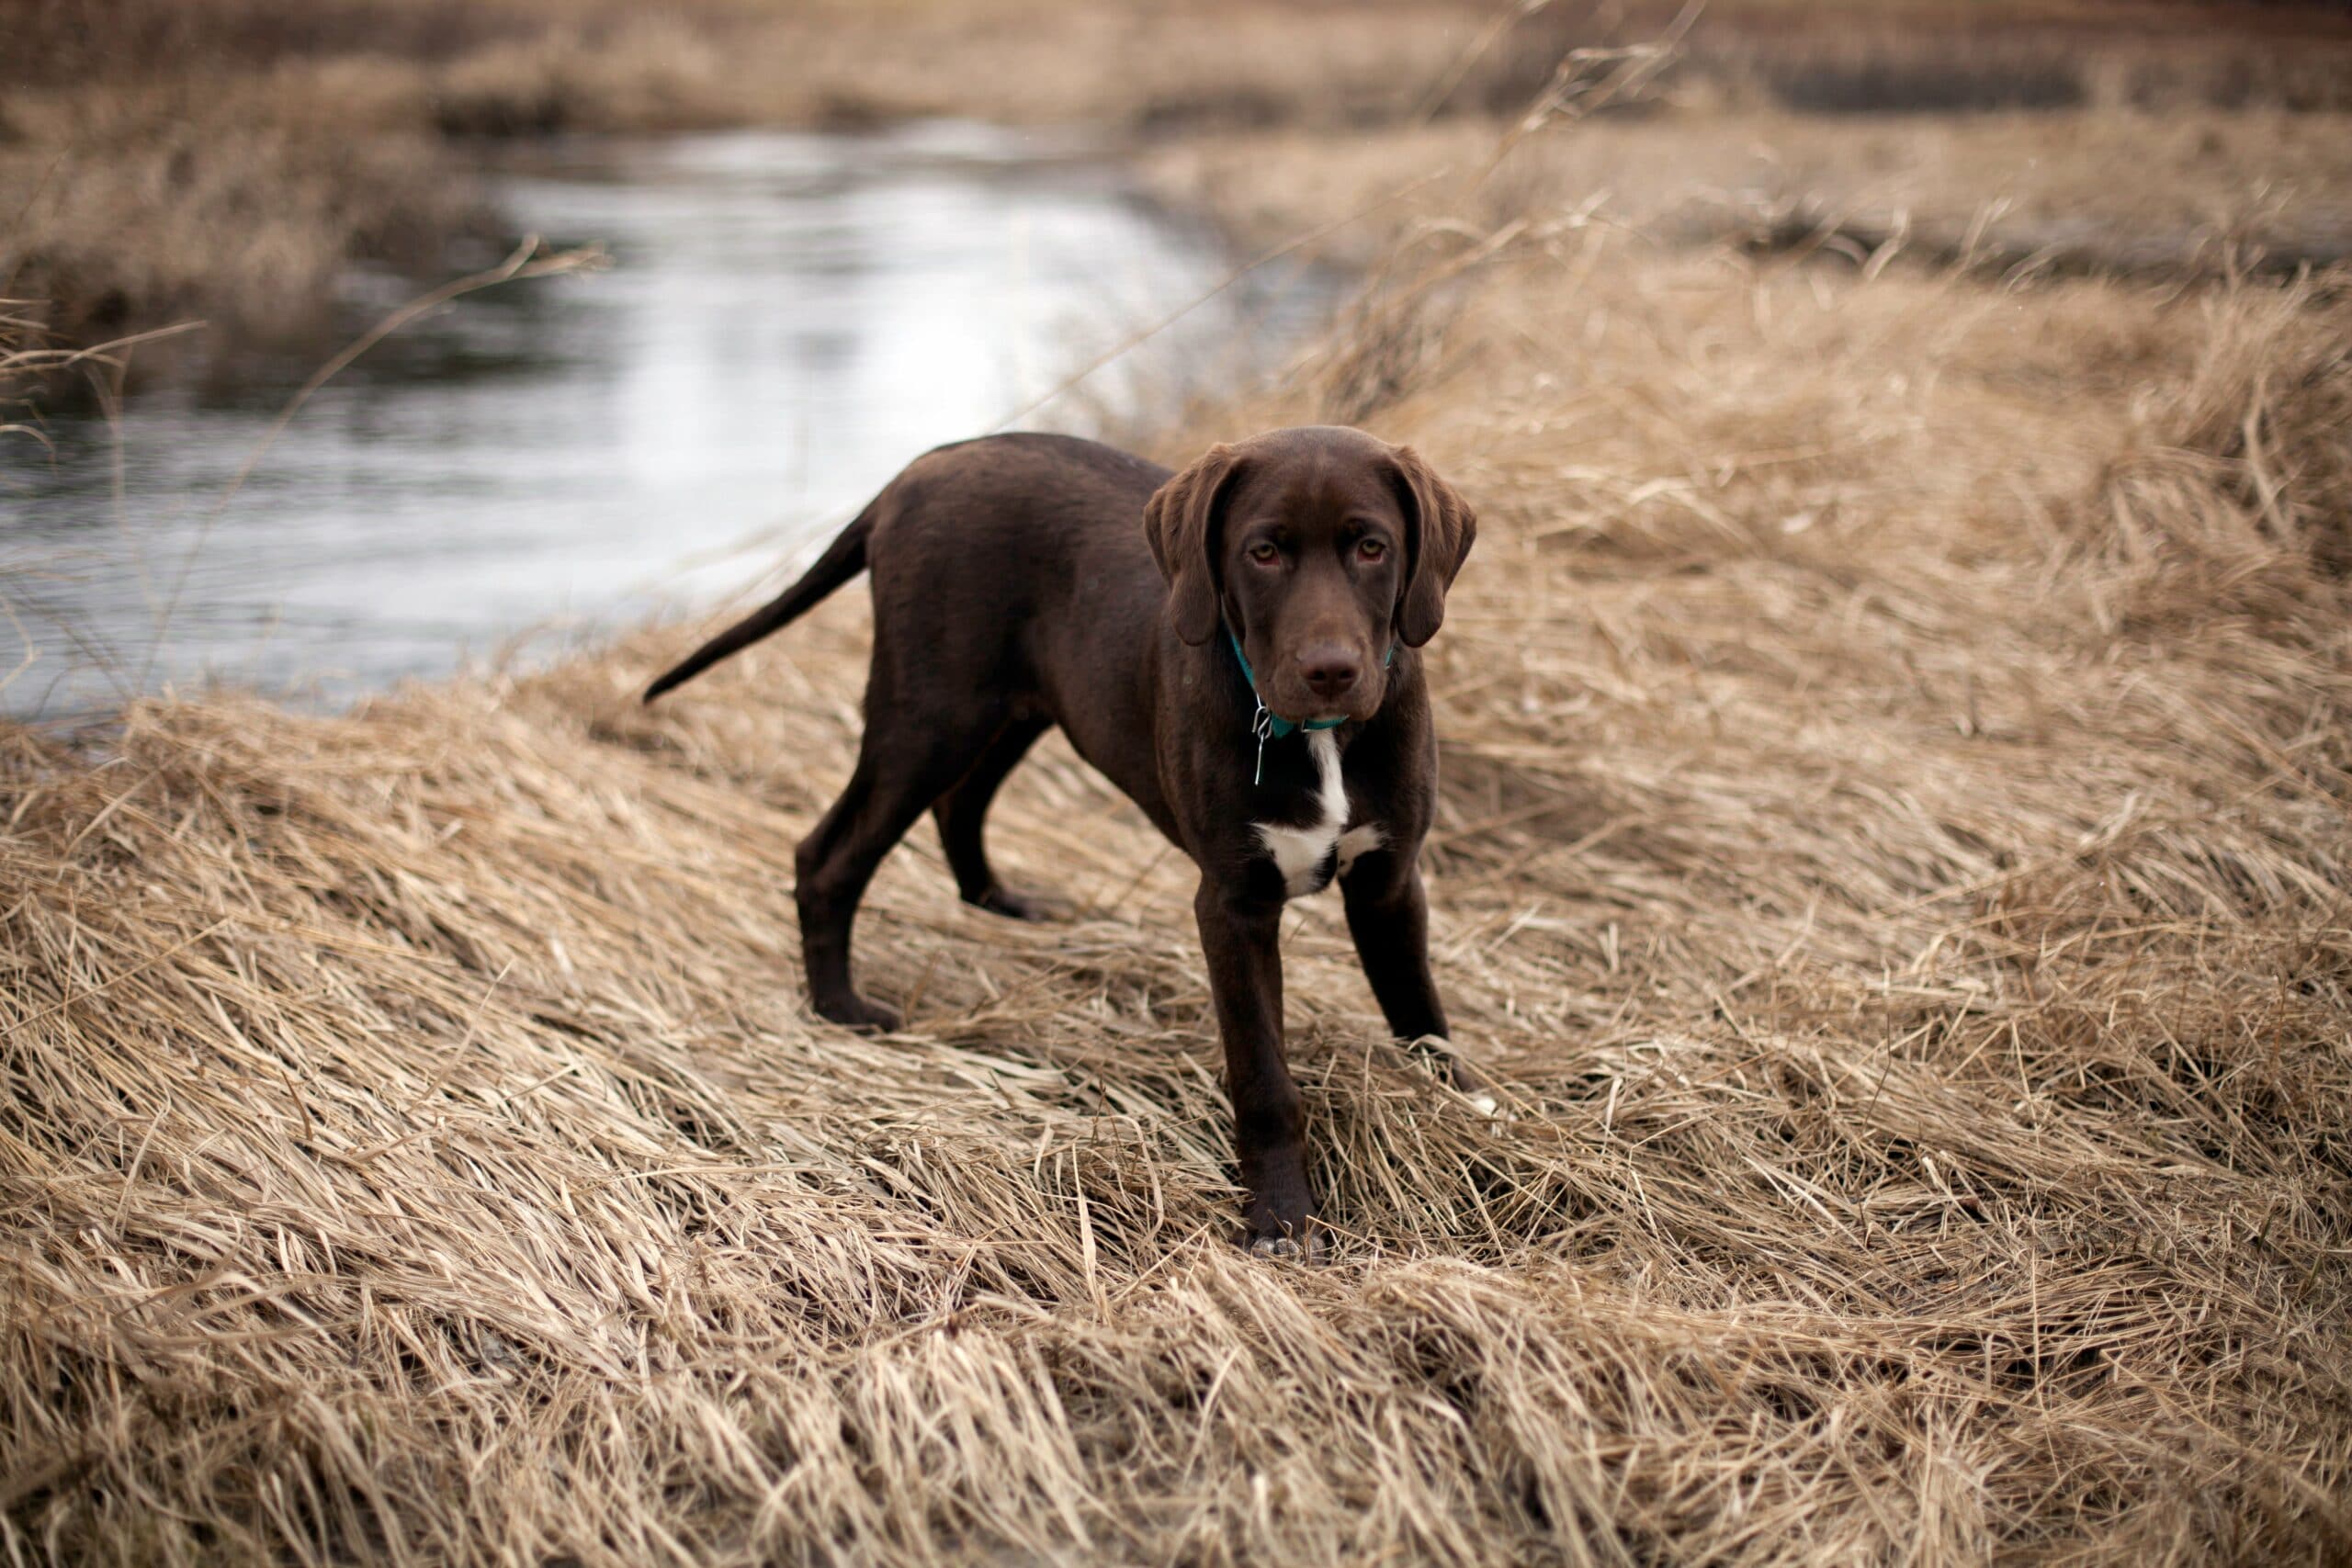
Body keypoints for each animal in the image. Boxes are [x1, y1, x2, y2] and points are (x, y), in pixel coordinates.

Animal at [649, 423, 1467, 1259]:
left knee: (959, 804)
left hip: (1016, 707)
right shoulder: (1233, 904)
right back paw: (840, 1009)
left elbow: (1421, 1012)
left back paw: (1001, 904)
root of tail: (920, 468)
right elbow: (1264, 1074)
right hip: (927, 713)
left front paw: (1464, 1108)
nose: (1330, 670)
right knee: (827, 854)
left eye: (1371, 547)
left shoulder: (1390, 880)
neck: (1321, 738)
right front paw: (1281, 1219)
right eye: (1263, 552)